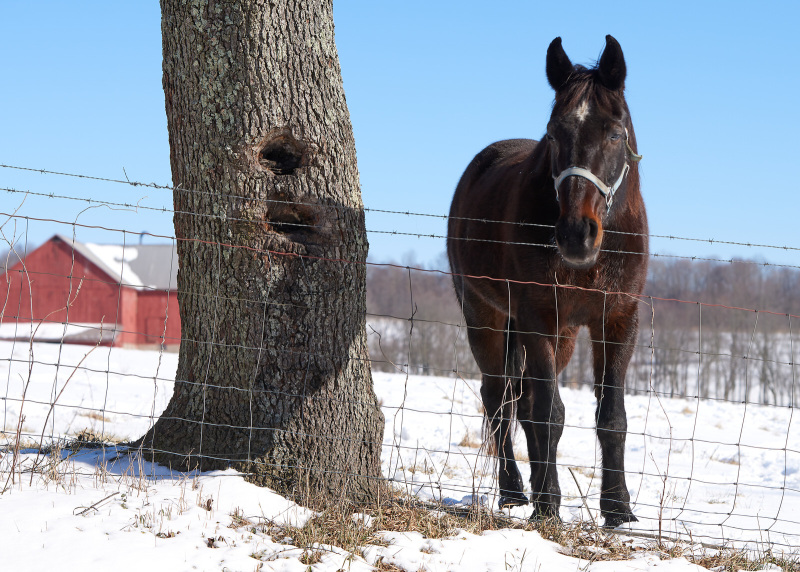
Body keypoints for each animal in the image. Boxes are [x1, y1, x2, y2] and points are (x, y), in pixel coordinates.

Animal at [447, 35, 648, 528]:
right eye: (555, 135)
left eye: (615, 134)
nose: (576, 232)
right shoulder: (538, 316)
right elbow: (548, 414)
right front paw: (549, 505)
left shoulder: (618, 320)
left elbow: (610, 416)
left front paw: (618, 508)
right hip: (485, 316)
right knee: (499, 399)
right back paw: (515, 490)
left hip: (563, 335)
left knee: (520, 401)